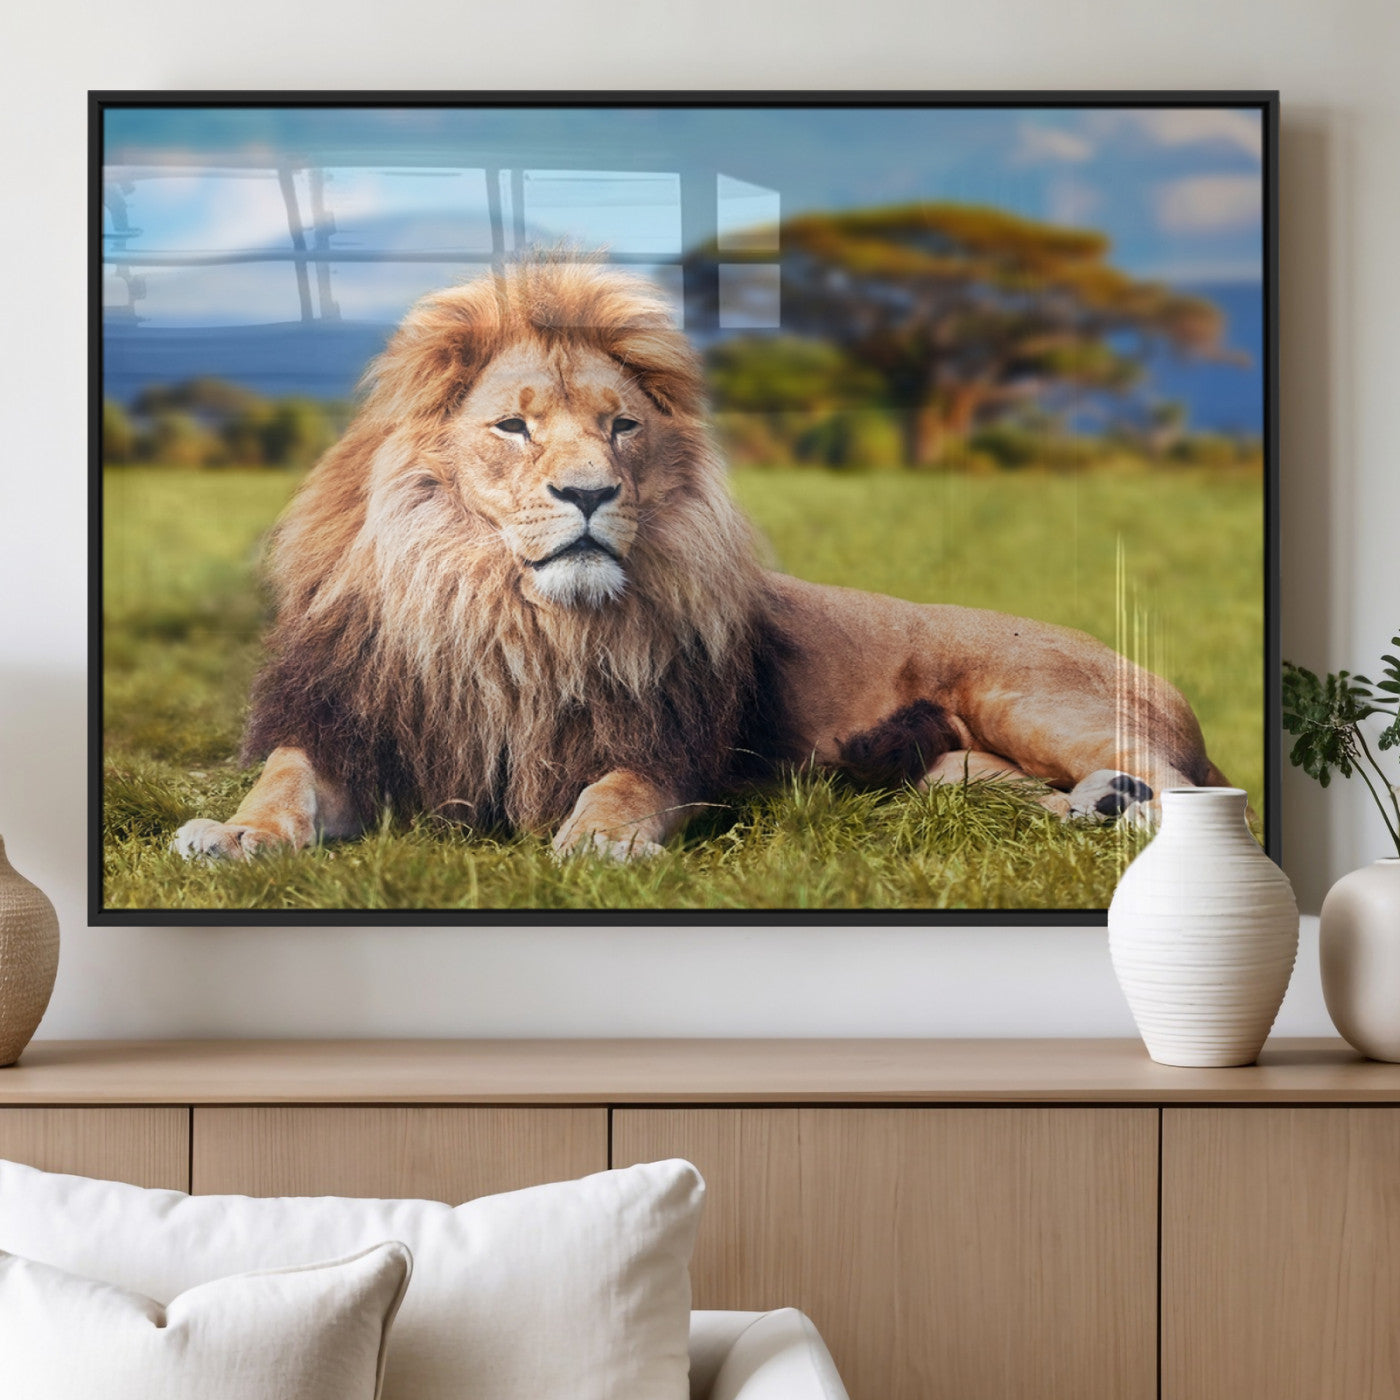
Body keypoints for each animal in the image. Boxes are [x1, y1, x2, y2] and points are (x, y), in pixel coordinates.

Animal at [173, 260, 1232, 865]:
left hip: (1029, 694)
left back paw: (1125, 807)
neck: (509, 619)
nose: (591, 493)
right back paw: (1091, 810)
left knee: (1194, 791)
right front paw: (234, 835)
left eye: (622, 427)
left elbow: (621, 788)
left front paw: (599, 842)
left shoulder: (668, 743)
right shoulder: (354, 728)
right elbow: (285, 784)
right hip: (951, 773)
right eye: (513, 426)